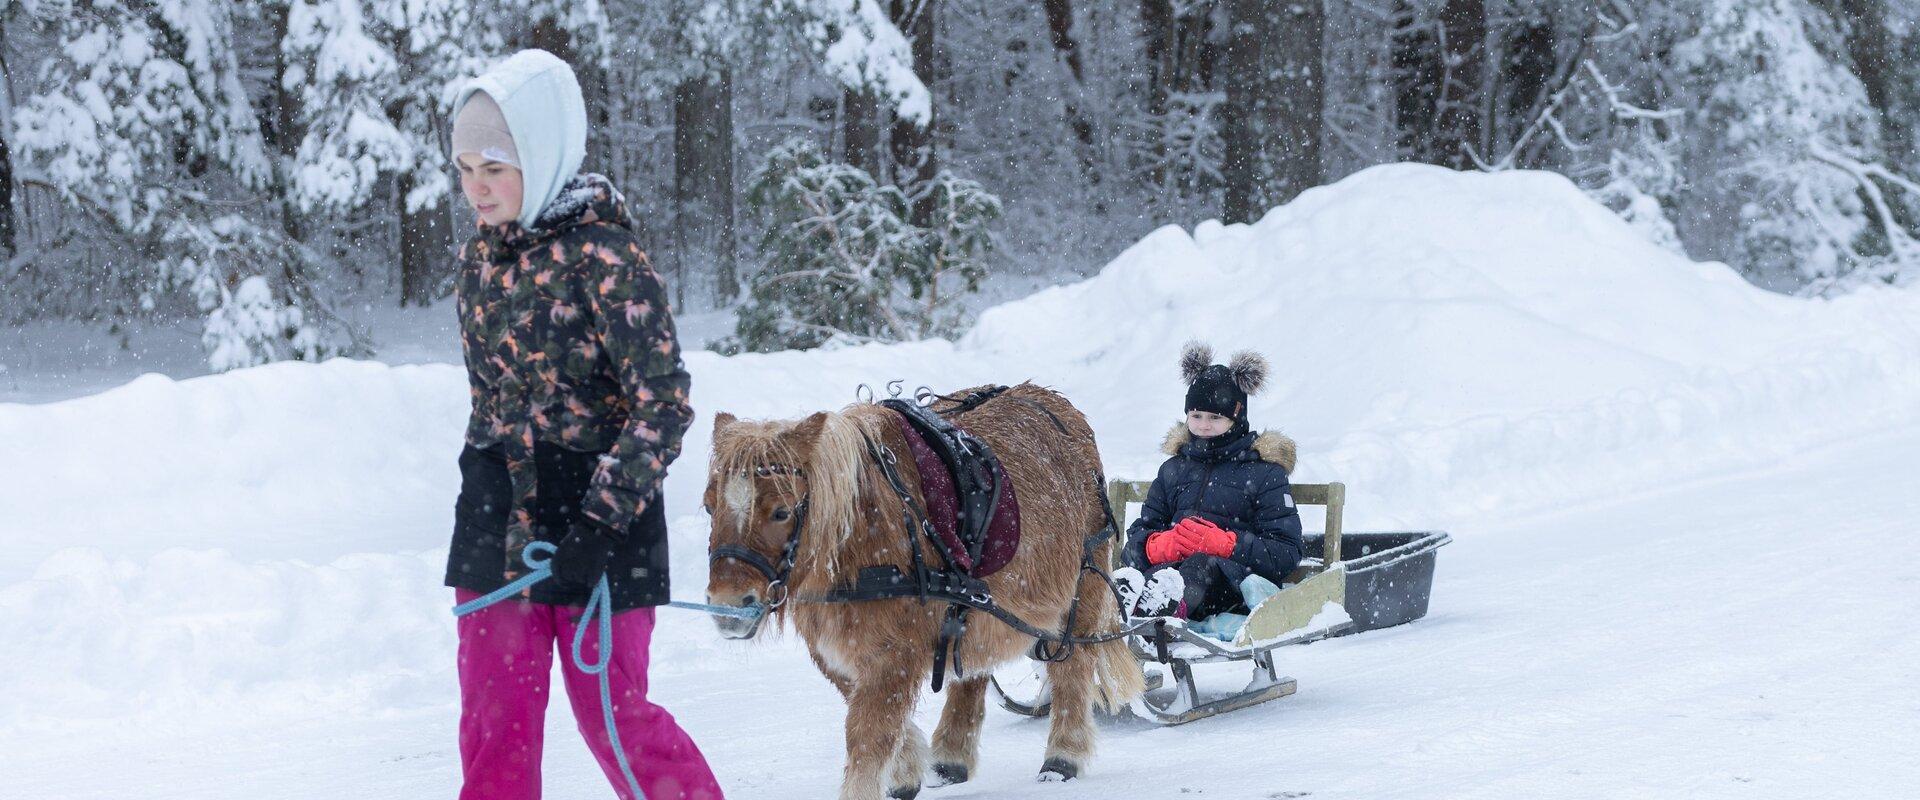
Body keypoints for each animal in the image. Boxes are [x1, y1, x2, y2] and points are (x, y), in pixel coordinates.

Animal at [714, 383, 1144, 794]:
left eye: (781, 511)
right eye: (708, 506)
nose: (727, 608)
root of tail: (1054, 402)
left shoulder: (894, 655)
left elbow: (869, 735)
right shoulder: (836, 655)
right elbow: (877, 722)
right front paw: (906, 770)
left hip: (1082, 590)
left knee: (1072, 664)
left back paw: (1062, 758)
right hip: (979, 608)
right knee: (974, 671)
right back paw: (952, 759)